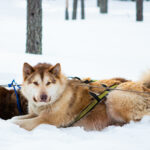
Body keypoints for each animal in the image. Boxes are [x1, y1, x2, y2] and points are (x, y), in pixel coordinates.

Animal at [12, 62, 150, 130]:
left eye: (49, 83)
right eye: (35, 83)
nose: (43, 97)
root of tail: (145, 88)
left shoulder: (46, 120)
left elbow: (19, 123)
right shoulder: (34, 114)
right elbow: (15, 118)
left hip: (115, 97)